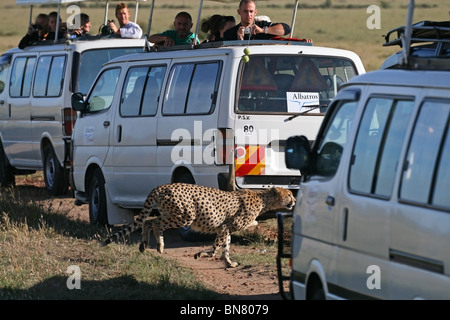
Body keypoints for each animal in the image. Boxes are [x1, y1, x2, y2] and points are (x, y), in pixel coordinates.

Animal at [100, 182, 296, 268]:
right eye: (289, 195)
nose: (294, 201)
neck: (264, 200)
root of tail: (163, 186)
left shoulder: (225, 229)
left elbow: (225, 247)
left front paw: (229, 262)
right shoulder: (224, 227)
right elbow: (216, 247)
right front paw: (202, 254)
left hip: (172, 214)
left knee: (148, 222)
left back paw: (145, 245)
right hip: (184, 216)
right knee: (153, 222)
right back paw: (157, 245)